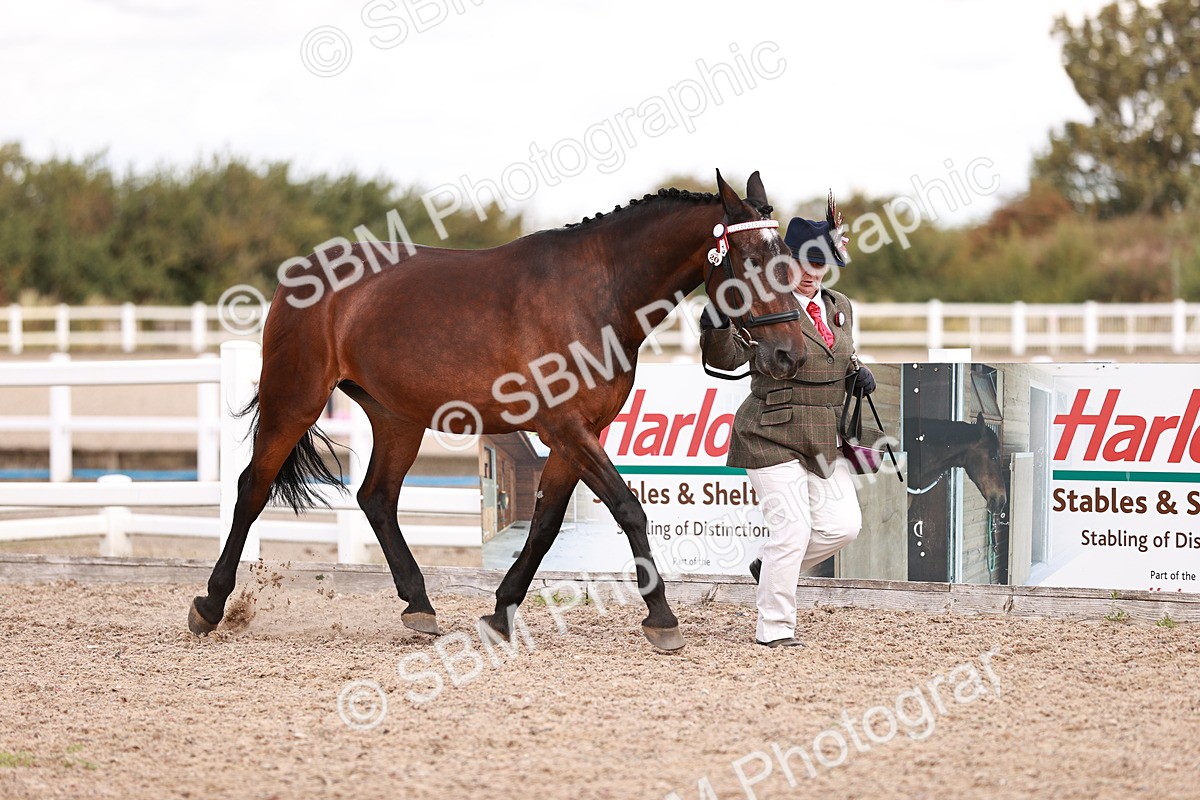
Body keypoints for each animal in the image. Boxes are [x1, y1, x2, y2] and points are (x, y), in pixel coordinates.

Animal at [187, 170, 811, 651]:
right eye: (751, 259)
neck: (599, 293)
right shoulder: (567, 427)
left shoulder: (573, 435)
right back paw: (210, 605)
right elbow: (628, 509)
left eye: (786, 260)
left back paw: (420, 605)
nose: (789, 354)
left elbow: (545, 524)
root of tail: (302, 273)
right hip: (294, 399)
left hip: (396, 418)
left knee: (377, 498)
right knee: (252, 488)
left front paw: (500, 611)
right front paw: (661, 618)